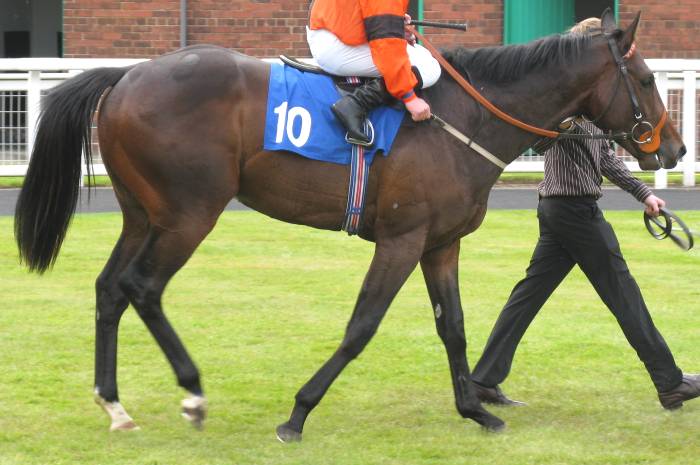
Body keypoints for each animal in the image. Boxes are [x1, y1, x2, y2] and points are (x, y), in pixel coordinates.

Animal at [14, 9, 685, 441]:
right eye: (647, 79)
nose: (674, 148)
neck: (466, 116)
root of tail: (126, 74)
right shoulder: (401, 240)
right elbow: (362, 326)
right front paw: (299, 412)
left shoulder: (440, 244)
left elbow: (454, 328)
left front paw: (475, 409)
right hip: (188, 214)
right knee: (142, 288)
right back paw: (193, 391)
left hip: (143, 213)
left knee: (109, 289)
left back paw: (115, 405)